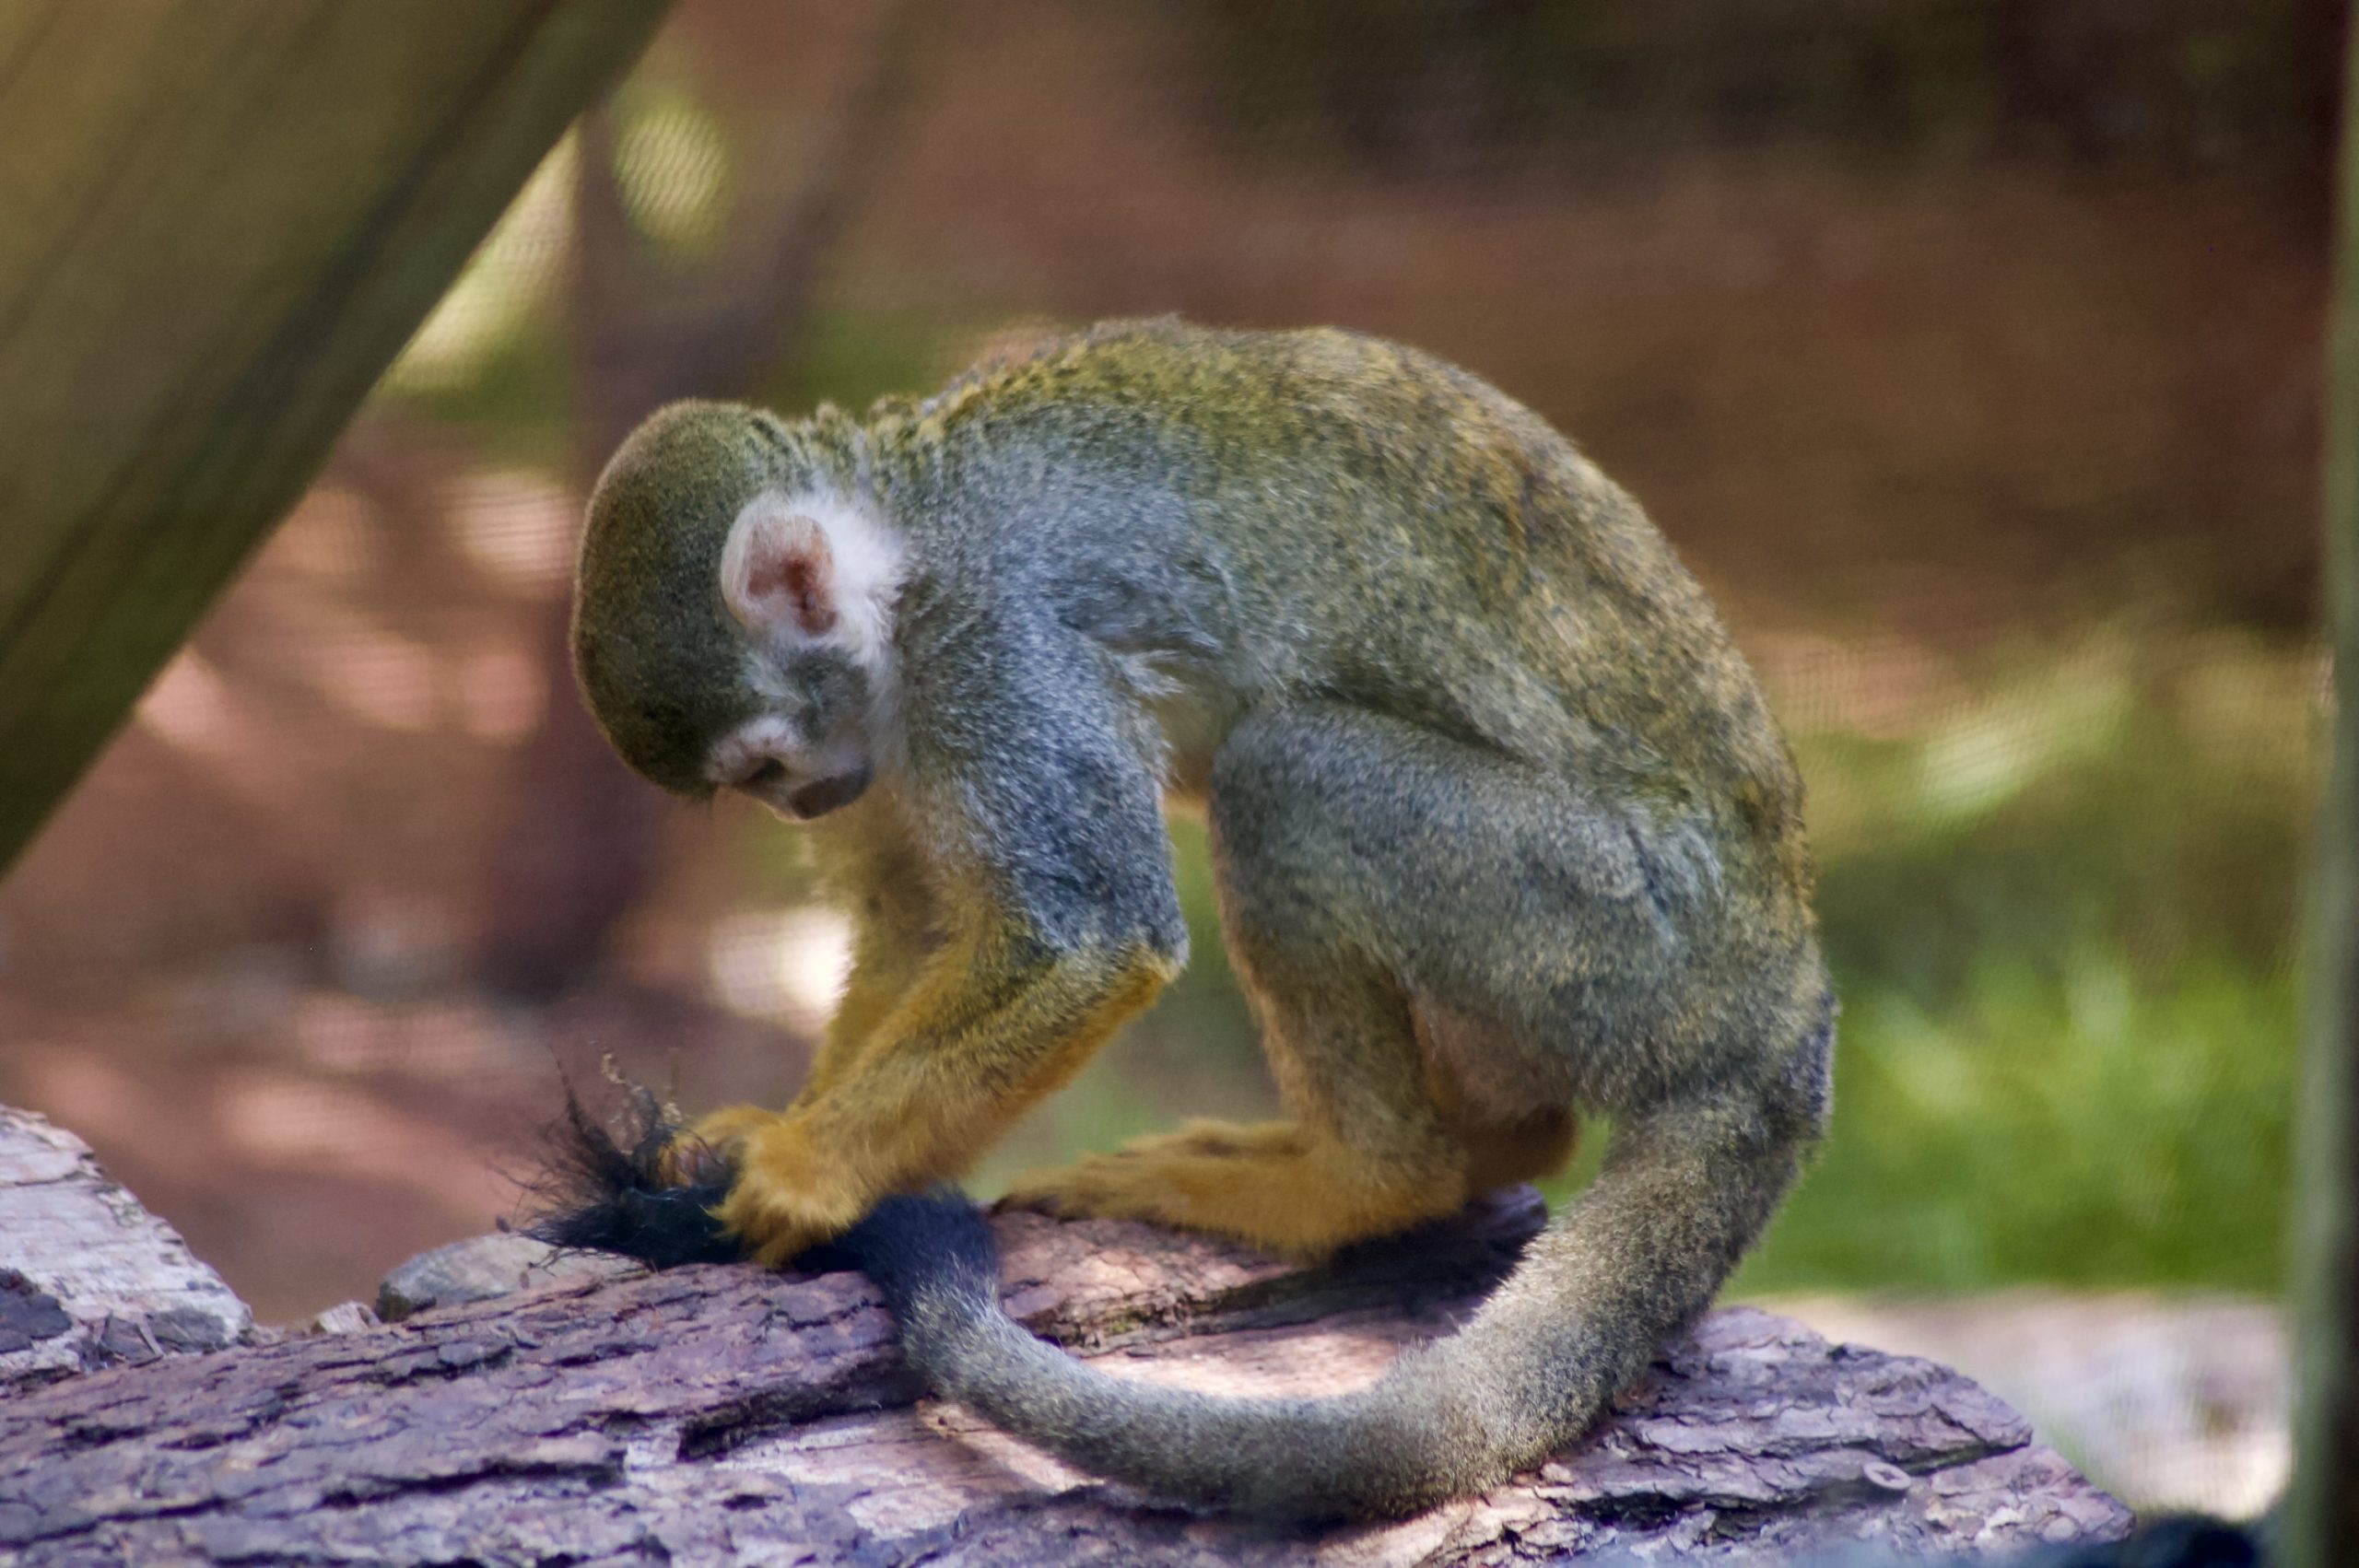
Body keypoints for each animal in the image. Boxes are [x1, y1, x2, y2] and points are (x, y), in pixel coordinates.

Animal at [555, 318, 1834, 1520]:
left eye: (764, 764)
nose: (807, 800)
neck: (902, 552)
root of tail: (1783, 1010)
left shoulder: (993, 646)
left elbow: (1089, 938)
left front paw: (804, 1172)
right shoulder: (889, 726)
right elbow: (911, 919)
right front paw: (781, 1129)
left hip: (1619, 924)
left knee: (1283, 772)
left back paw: (1367, 1180)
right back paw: (1490, 1146)